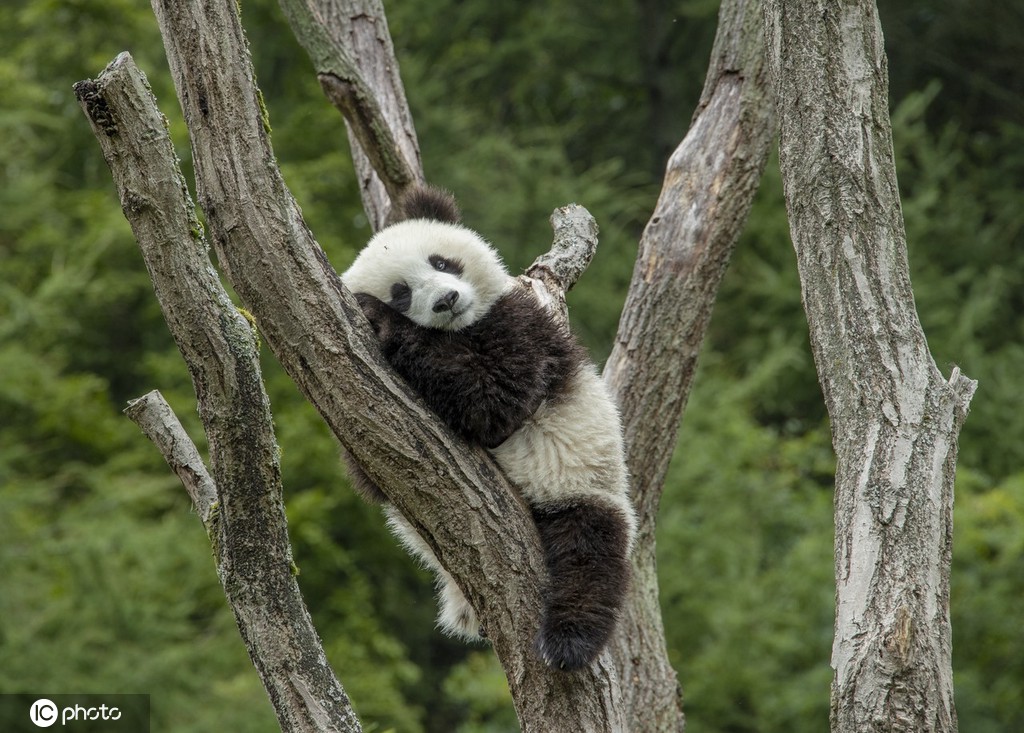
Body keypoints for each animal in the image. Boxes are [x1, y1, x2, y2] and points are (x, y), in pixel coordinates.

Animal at [344, 184, 630, 671]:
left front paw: (377, 318)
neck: (460, 330)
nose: (446, 301)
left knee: (589, 555)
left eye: (441, 262)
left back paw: (568, 642)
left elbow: (493, 401)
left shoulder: (520, 325)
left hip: (584, 480)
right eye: (401, 292)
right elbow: (370, 474)